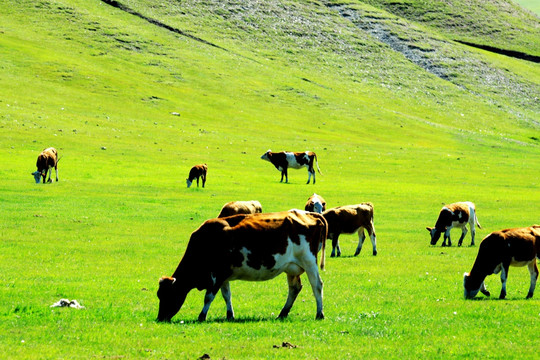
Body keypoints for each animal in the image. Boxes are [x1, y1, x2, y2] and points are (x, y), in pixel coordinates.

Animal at [154, 210, 326, 322]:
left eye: (168, 295)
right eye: (159, 295)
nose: (160, 318)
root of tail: (310, 214)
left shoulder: (217, 274)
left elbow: (208, 297)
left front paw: (202, 316)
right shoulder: (224, 276)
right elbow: (226, 295)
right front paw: (230, 315)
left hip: (309, 261)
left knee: (317, 285)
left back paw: (319, 314)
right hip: (291, 267)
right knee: (294, 288)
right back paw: (282, 313)